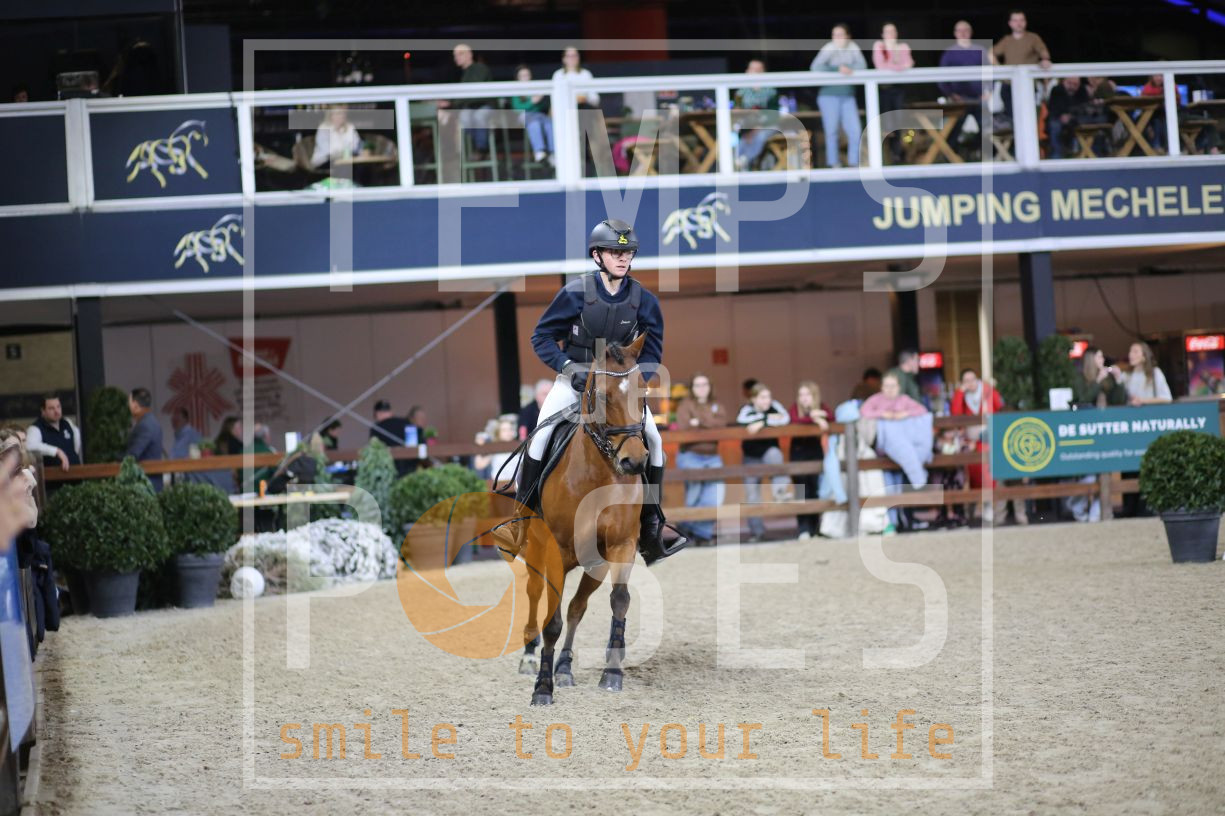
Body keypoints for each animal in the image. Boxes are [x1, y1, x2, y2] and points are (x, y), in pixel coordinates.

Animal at [513, 333, 651, 706]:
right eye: (602, 396)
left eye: (643, 394)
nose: (634, 461)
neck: (598, 475)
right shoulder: (555, 552)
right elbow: (551, 621)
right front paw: (542, 689)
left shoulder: (621, 545)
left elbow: (619, 601)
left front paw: (612, 673)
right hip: (537, 552)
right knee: (535, 595)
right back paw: (530, 657)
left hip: (595, 563)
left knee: (577, 606)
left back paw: (564, 667)